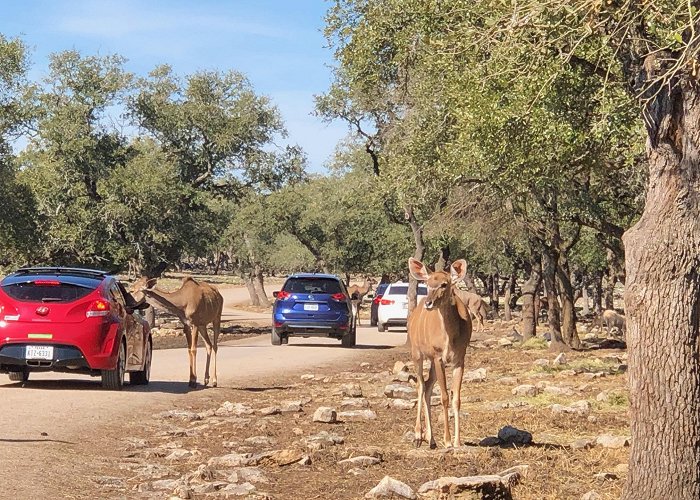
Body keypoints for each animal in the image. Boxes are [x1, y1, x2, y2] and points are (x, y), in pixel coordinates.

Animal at [408, 258, 474, 450]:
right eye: (427, 283)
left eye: (444, 284)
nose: (429, 303)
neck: (449, 339)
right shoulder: (438, 356)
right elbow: (444, 396)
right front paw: (447, 440)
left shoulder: (459, 359)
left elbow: (456, 398)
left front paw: (457, 441)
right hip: (417, 354)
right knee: (421, 385)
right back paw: (418, 435)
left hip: (431, 361)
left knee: (428, 385)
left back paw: (431, 439)